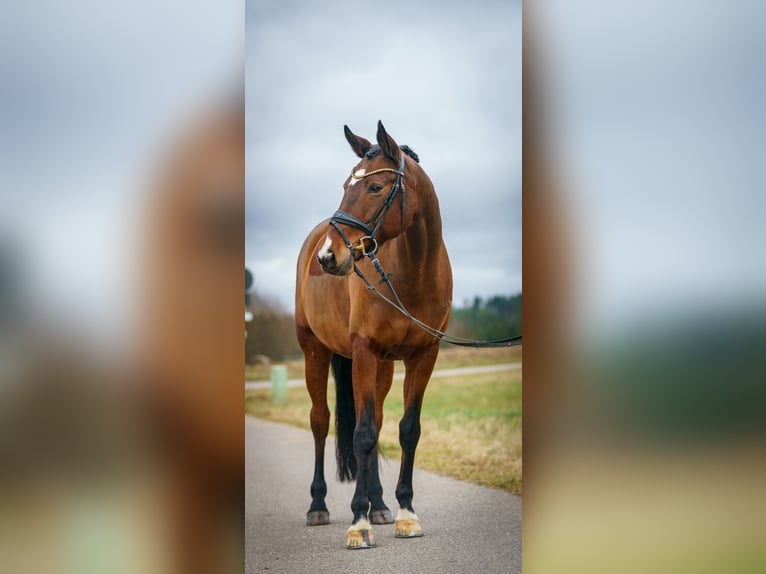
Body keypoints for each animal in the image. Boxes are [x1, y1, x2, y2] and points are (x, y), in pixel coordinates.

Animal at [292, 121, 450, 548]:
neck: (412, 274)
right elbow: (361, 434)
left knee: (376, 419)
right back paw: (319, 506)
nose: (328, 257)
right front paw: (357, 523)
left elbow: (406, 430)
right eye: (345, 184)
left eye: (375, 187)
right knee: (321, 421)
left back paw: (378, 505)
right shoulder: (363, 352)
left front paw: (405, 514)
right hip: (315, 353)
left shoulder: (423, 356)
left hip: (383, 366)